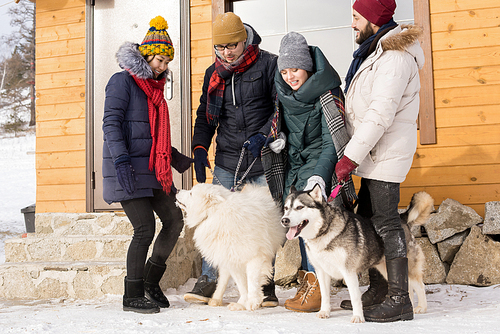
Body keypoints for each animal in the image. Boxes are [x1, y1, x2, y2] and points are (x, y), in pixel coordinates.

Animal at [282, 185, 434, 324]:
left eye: (300, 207)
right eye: (286, 208)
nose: (284, 220)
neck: (324, 232)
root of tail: (401, 218)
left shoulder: (348, 272)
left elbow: (355, 297)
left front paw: (358, 317)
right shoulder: (321, 271)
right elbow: (325, 295)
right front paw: (324, 312)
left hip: (408, 268)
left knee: (420, 286)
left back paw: (421, 307)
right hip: (386, 269)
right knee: (407, 287)